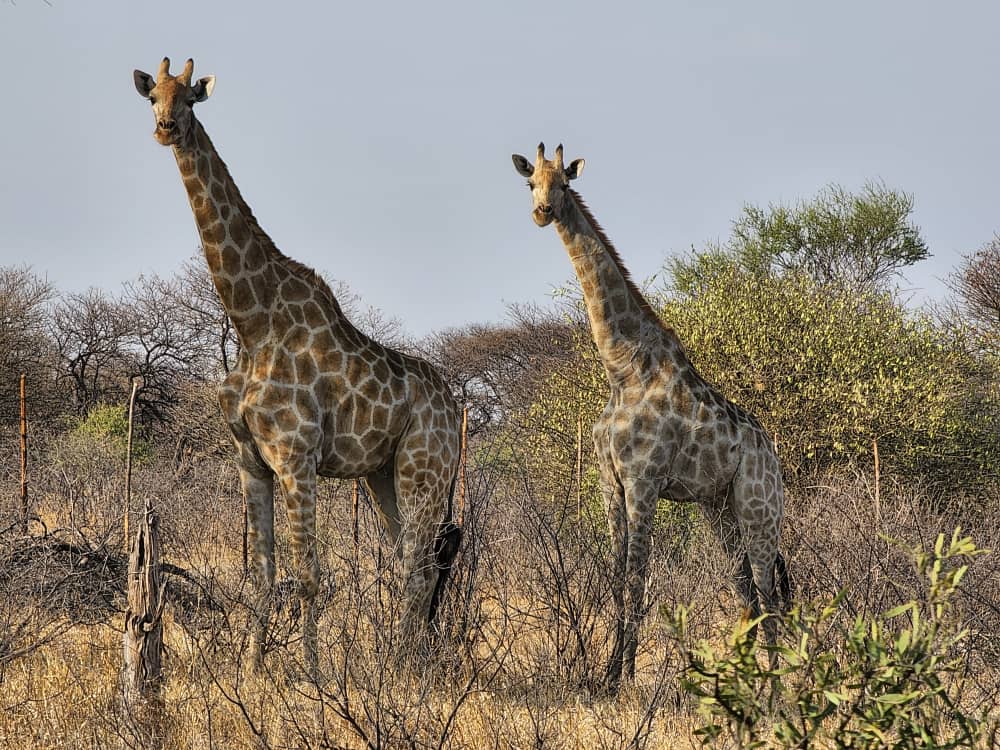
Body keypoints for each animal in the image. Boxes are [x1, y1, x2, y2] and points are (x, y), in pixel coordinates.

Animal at [133, 58, 460, 680]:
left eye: (190, 98)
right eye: (151, 97)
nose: (165, 128)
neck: (251, 319)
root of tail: (459, 410)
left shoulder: (296, 457)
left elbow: (307, 575)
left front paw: (311, 675)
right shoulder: (251, 460)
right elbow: (262, 575)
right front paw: (251, 669)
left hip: (424, 469)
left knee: (421, 563)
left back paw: (403, 665)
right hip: (382, 475)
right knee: (415, 561)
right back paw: (401, 659)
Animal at [516, 144, 788, 692]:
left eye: (564, 184)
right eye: (530, 182)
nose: (542, 212)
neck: (622, 367)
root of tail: (774, 457)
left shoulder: (644, 481)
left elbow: (638, 582)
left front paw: (621, 678)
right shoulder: (609, 481)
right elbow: (617, 579)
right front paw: (604, 676)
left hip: (758, 508)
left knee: (768, 591)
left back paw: (774, 686)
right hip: (718, 509)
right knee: (746, 590)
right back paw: (746, 681)